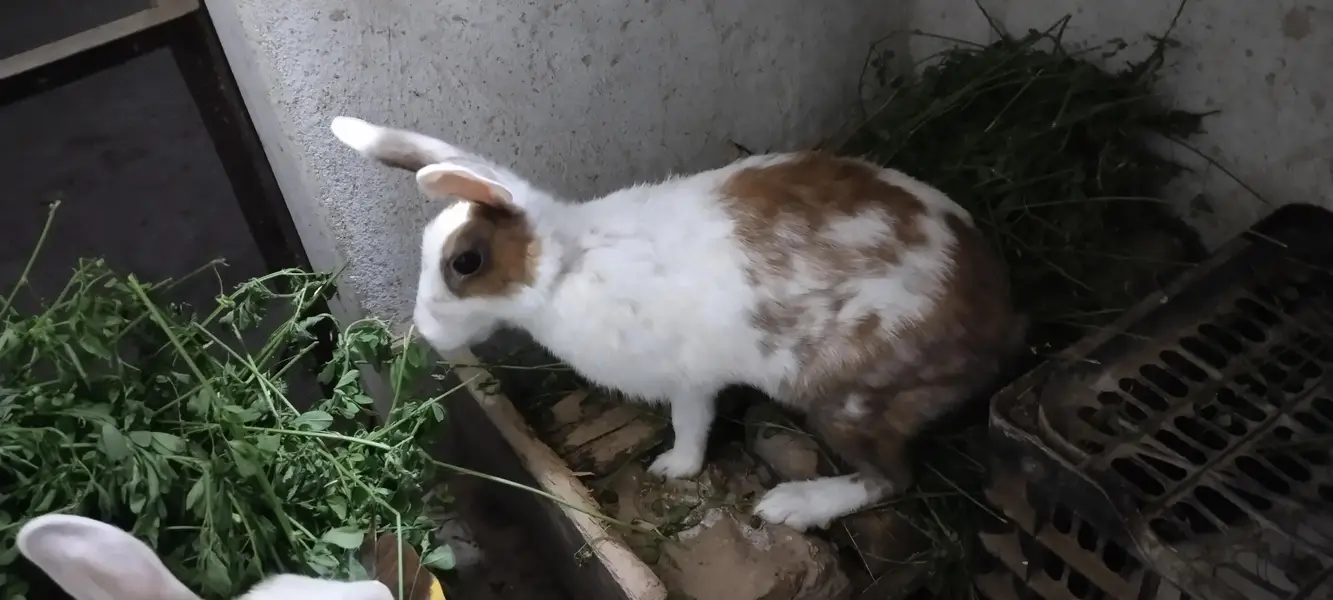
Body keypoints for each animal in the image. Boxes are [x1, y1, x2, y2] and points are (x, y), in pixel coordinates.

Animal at [329, 116, 1025, 532]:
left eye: (466, 263)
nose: (426, 330)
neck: (568, 264)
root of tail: (997, 320)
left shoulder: (689, 380)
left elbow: (690, 427)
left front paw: (671, 470)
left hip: (848, 401)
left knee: (892, 478)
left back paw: (790, 506)